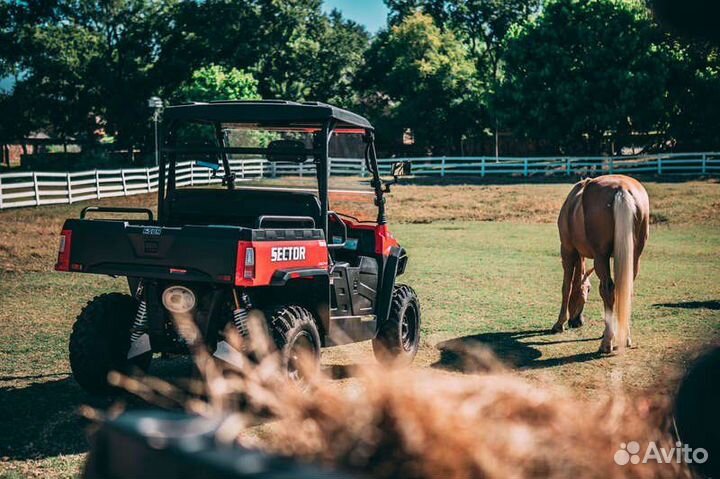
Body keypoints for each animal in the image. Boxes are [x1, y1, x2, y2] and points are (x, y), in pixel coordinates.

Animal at [556, 174, 648, 354]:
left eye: (588, 290)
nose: (578, 321)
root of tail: (621, 188)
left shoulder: (567, 250)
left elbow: (566, 287)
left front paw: (559, 323)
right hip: (634, 256)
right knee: (625, 290)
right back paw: (623, 337)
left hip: (600, 257)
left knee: (608, 289)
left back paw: (606, 343)